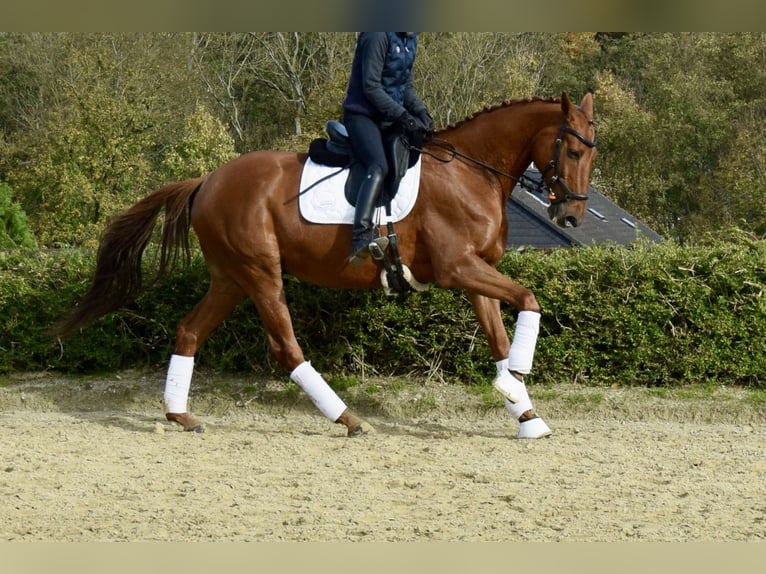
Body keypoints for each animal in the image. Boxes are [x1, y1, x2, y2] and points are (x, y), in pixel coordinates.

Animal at [53, 92, 597, 439]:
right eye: (572, 150)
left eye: (592, 152)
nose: (571, 216)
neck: (471, 170)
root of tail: (207, 179)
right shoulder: (458, 268)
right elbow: (529, 300)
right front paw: (514, 385)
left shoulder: (475, 273)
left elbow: (501, 338)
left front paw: (525, 413)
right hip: (260, 273)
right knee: (286, 347)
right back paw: (348, 419)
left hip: (231, 278)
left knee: (189, 332)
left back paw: (179, 416)